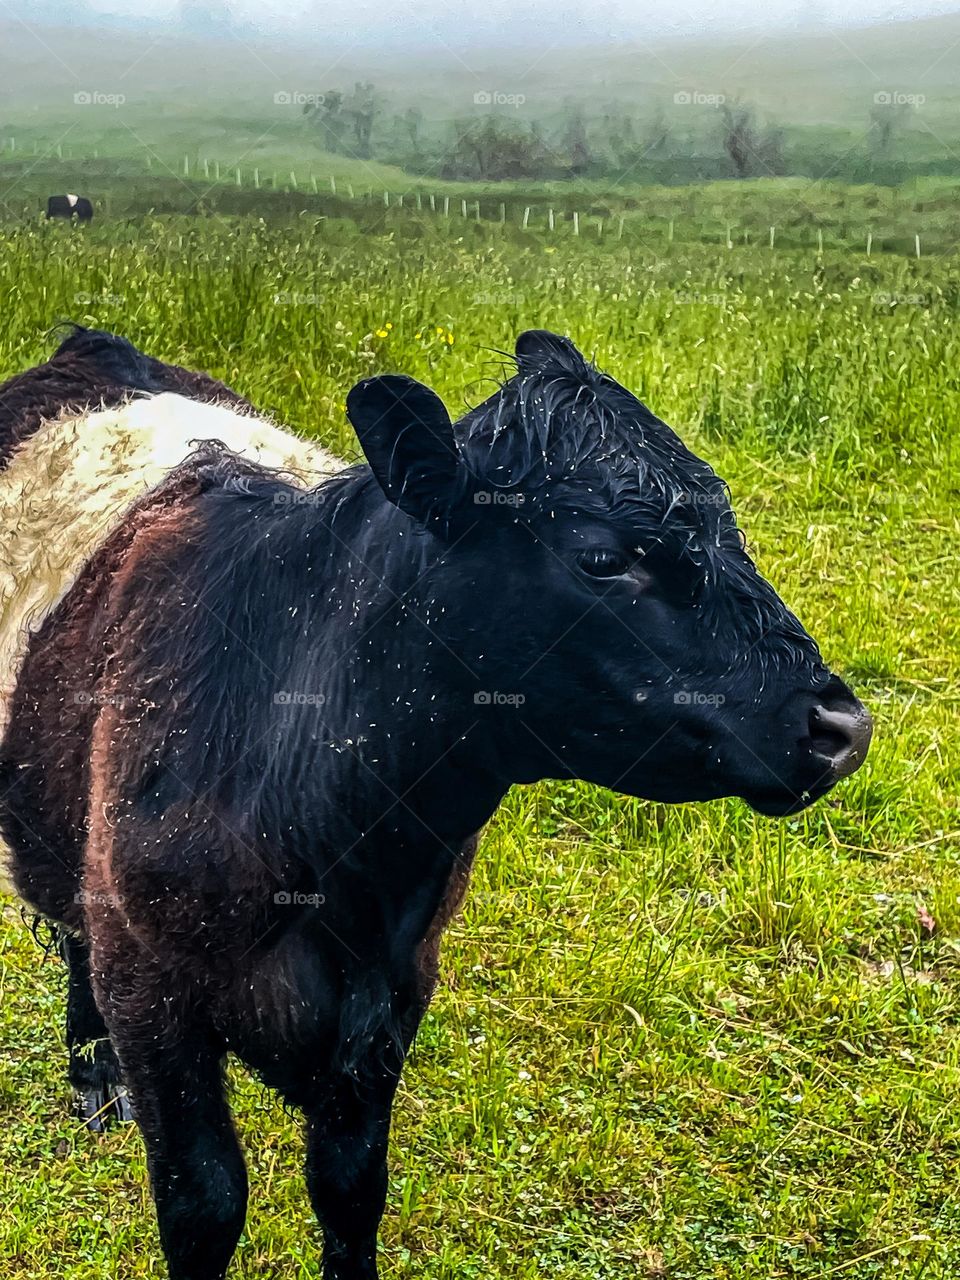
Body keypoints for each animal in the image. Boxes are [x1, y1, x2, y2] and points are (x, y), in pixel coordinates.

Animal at [0, 327, 870, 1280]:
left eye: (727, 523)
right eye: (603, 557)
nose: (841, 724)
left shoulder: (395, 992)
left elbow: (349, 1189)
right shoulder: (152, 991)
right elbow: (206, 1204)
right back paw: (93, 1074)